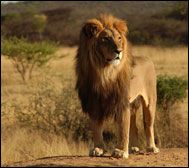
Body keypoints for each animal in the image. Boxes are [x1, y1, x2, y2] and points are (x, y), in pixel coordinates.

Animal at [75, 14, 159, 159]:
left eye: (119, 38)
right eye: (105, 39)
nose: (119, 51)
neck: (104, 72)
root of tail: (147, 58)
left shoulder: (121, 102)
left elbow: (123, 128)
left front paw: (120, 151)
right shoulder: (94, 103)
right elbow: (96, 127)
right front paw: (98, 149)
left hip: (150, 100)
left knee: (148, 124)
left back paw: (151, 147)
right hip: (132, 105)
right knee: (134, 126)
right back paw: (134, 148)